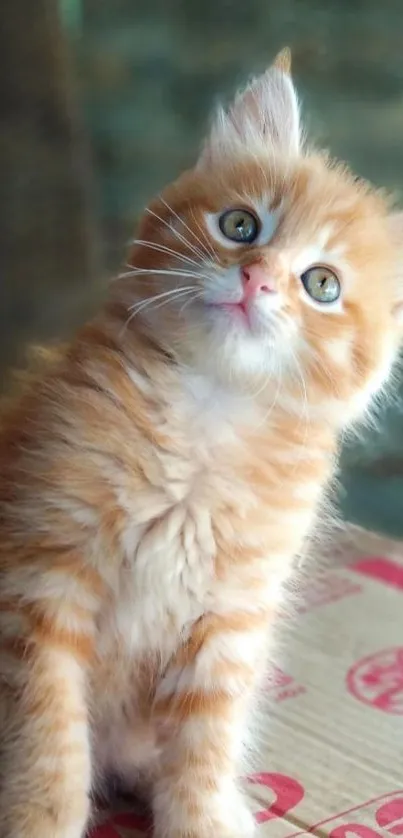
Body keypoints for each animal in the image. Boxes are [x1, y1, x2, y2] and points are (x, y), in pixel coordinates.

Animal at [0, 50, 403, 838]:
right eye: (240, 225)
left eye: (321, 284)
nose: (257, 278)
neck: (208, 417)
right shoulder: (41, 578)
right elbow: (46, 732)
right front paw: (36, 817)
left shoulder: (231, 619)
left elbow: (205, 741)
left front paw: (204, 817)